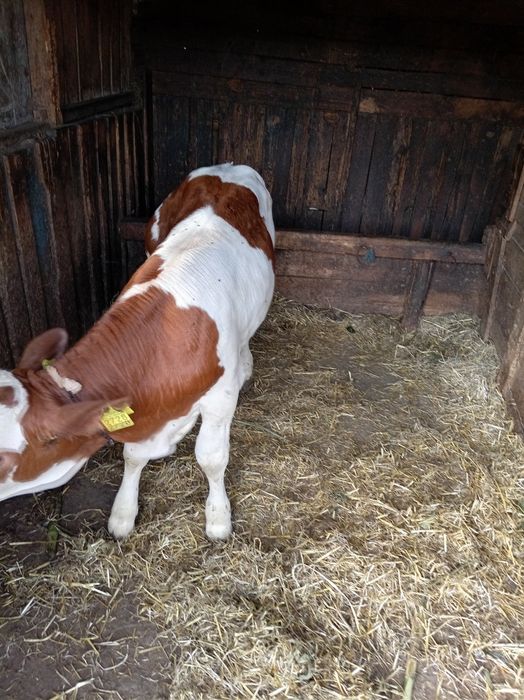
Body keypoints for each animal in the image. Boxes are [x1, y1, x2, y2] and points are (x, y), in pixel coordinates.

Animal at [0, 163, 275, 540]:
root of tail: (226, 167)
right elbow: (132, 456)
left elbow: (211, 457)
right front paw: (123, 512)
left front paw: (218, 517)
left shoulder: (221, 398)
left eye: (4, 460)